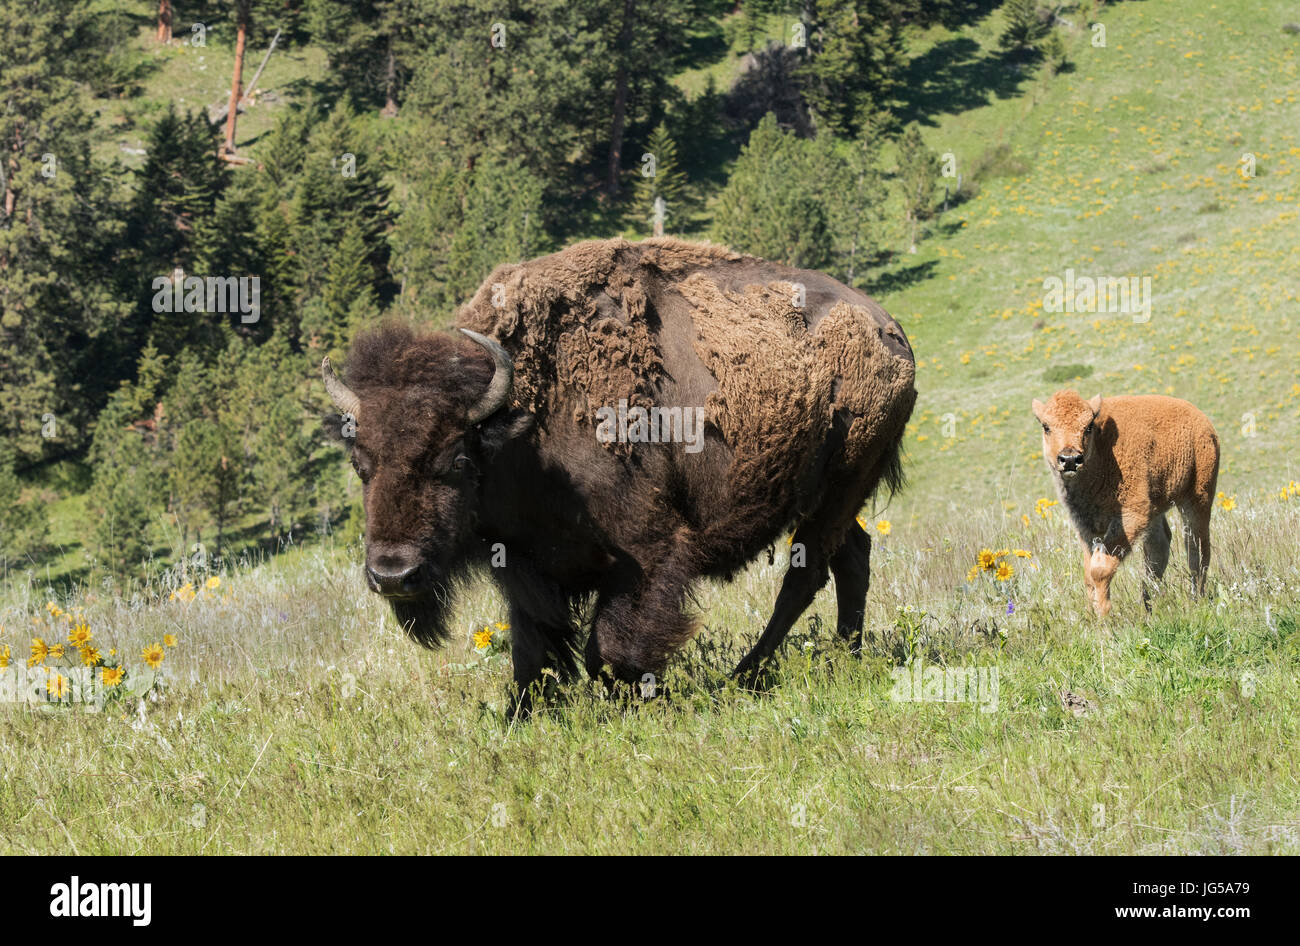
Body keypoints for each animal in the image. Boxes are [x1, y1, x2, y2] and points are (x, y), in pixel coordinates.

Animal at [323, 237, 915, 706]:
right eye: (360, 464)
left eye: (457, 460)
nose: (393, 575)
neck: (522, 426)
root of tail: (889, 327)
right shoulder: (522, 566)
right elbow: (534, 648)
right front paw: (521, 715)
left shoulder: (646, 552)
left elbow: (607, 648)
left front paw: (638, 695)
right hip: (829, 498)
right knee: (852, 556)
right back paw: (844, 655)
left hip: (840, 489)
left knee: (805, 575)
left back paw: (745, 676)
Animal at [1029, 389, 1222, 615]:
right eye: (1046, 426)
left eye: (1088, 426)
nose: (1069, 459)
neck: (1102, 450)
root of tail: (1204, 422)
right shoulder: (1085, 526)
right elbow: (1088, 573)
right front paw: (1092, 615)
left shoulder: (1131, 515)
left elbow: (1100, 569)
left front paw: (1104, 615)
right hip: (1156, 508)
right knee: (1159, 547)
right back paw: (1148, 605)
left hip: (1197, 498)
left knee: (1196, 549)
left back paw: (1195, 600)